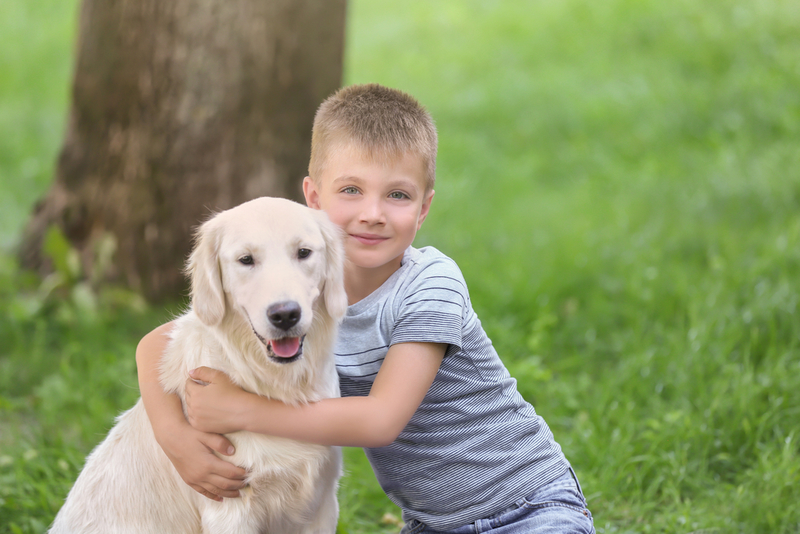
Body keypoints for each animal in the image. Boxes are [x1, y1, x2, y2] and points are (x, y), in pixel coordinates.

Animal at [50, 198, 346, 534]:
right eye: (246, 260)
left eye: (303, 253)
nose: (285, 314)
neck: (276, 389)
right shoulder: (229, 509)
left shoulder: (322, 502)